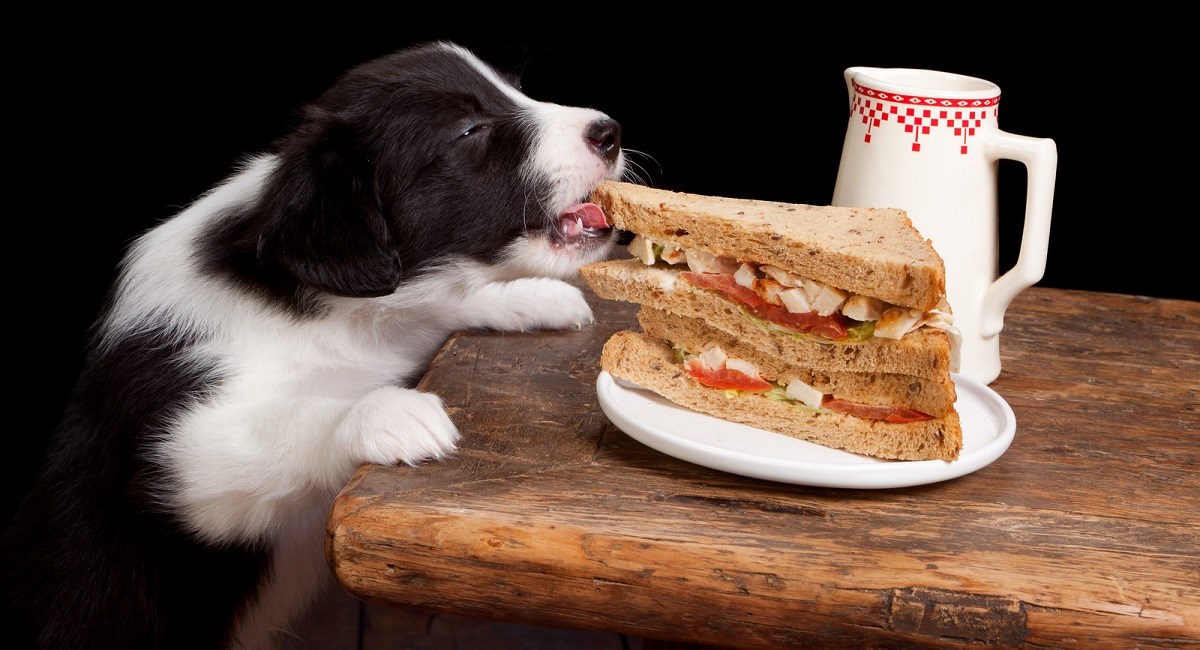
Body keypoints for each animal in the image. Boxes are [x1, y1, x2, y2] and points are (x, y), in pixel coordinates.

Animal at [2, 41, 628, 650]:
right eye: (469, 130)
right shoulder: (174, 457)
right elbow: (280, 422)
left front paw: (530, 295)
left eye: (516, 90)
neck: (334, 314)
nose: (610, 130)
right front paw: (384, 413)